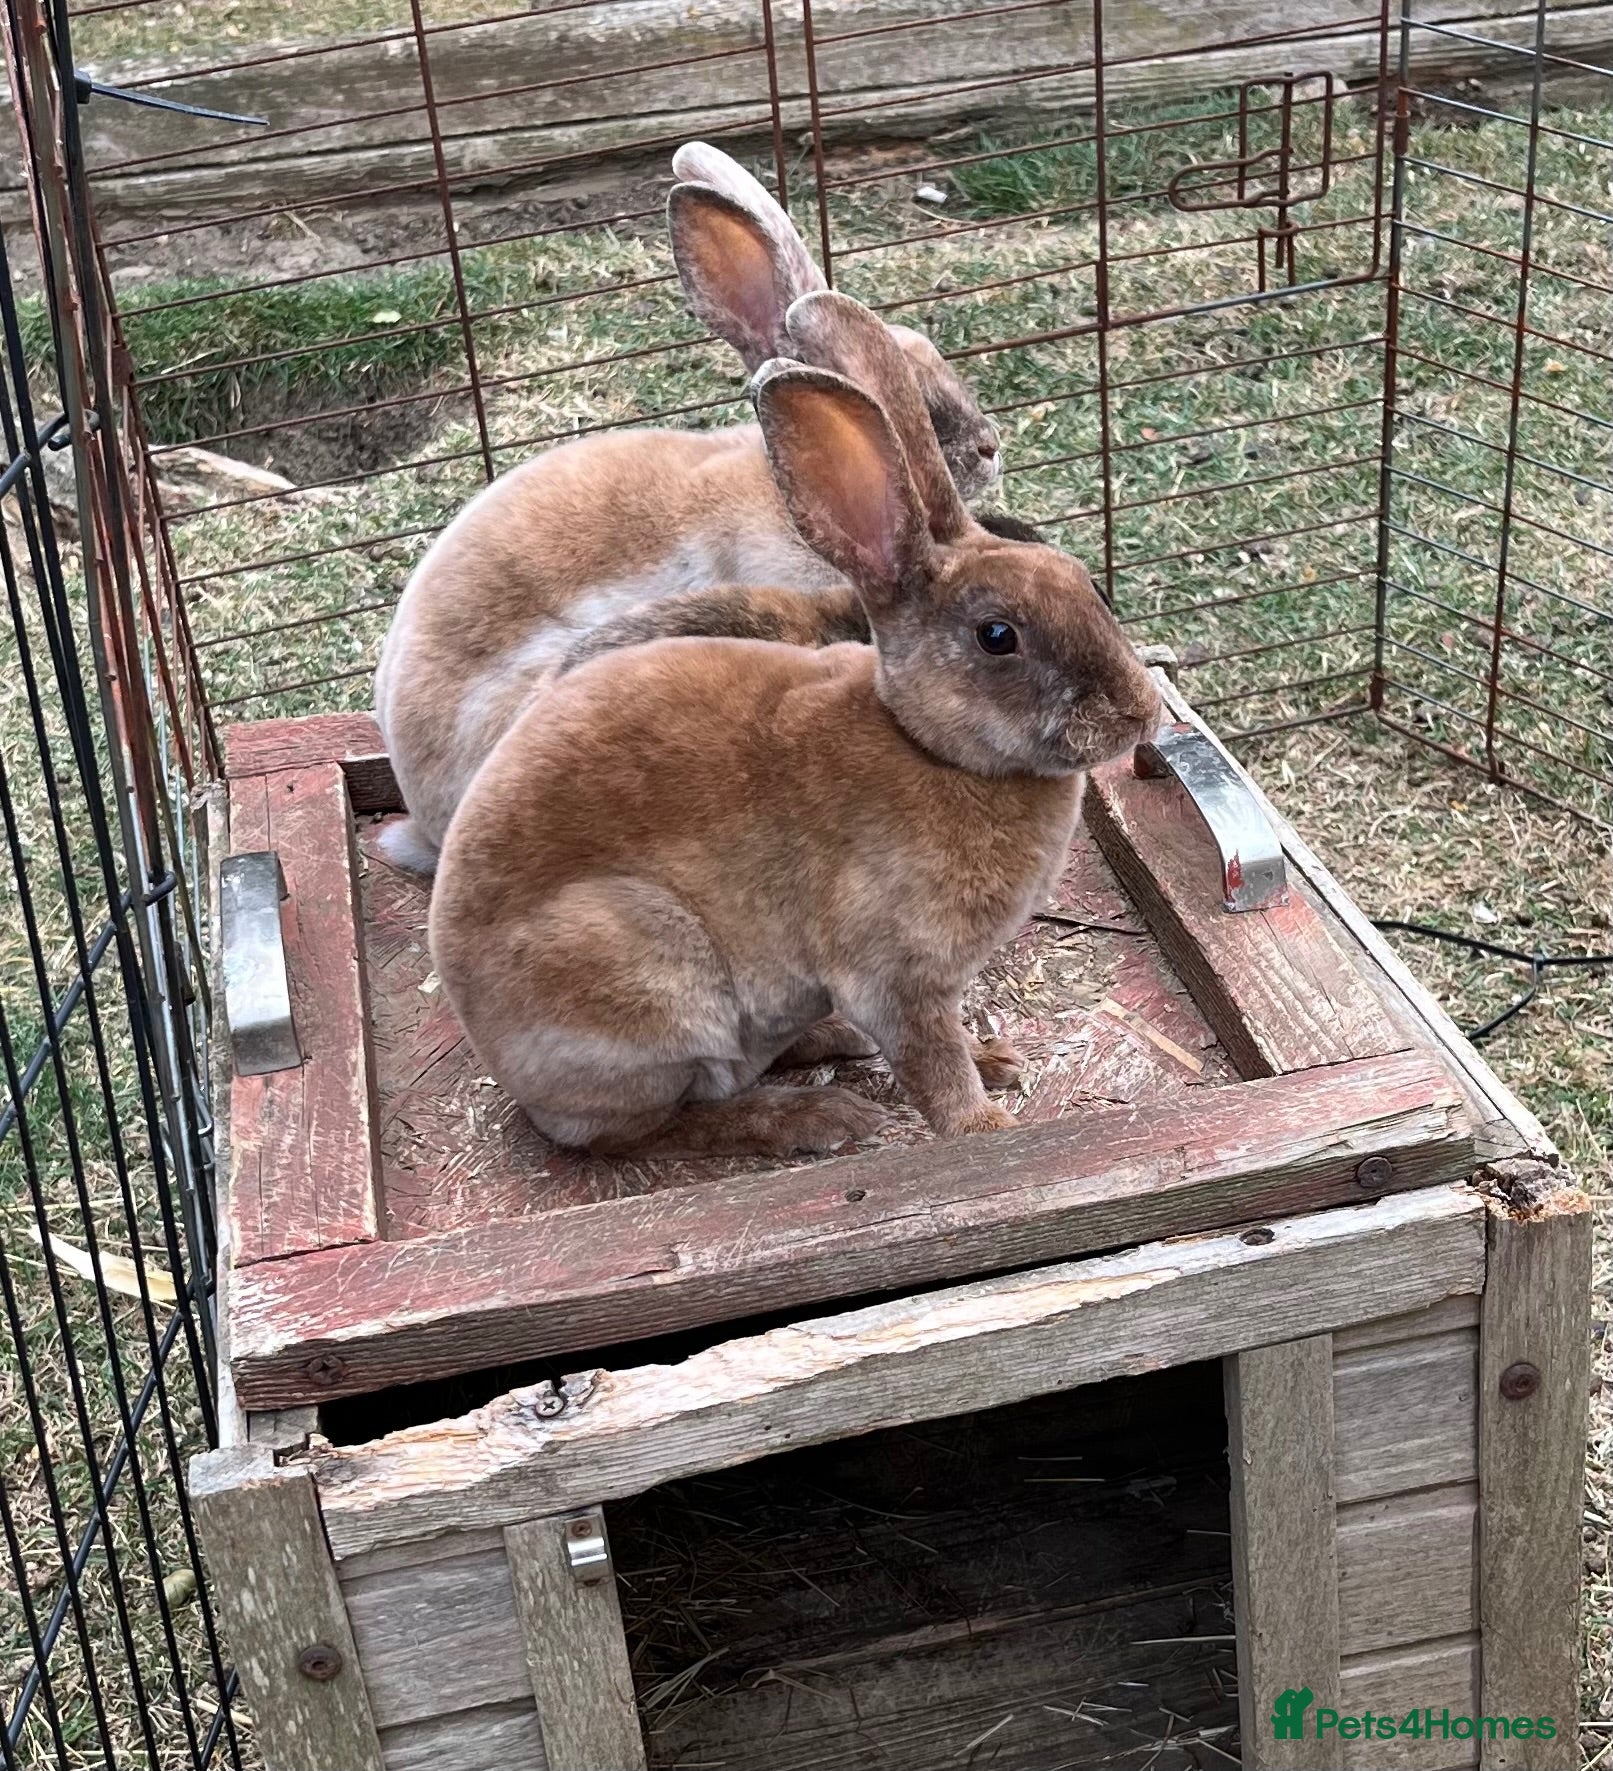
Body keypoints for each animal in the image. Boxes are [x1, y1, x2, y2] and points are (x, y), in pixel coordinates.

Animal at [428, 289, 1160, 1160]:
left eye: (1083, 583)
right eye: (995, 635)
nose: (1139, 712)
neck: (930, 750)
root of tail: (495, 1047)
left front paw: (994, 1063)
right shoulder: (894, 975)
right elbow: (929, 1060)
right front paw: (984, 1125)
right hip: (648, 977)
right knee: (653, 1127)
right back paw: (818, 1116)